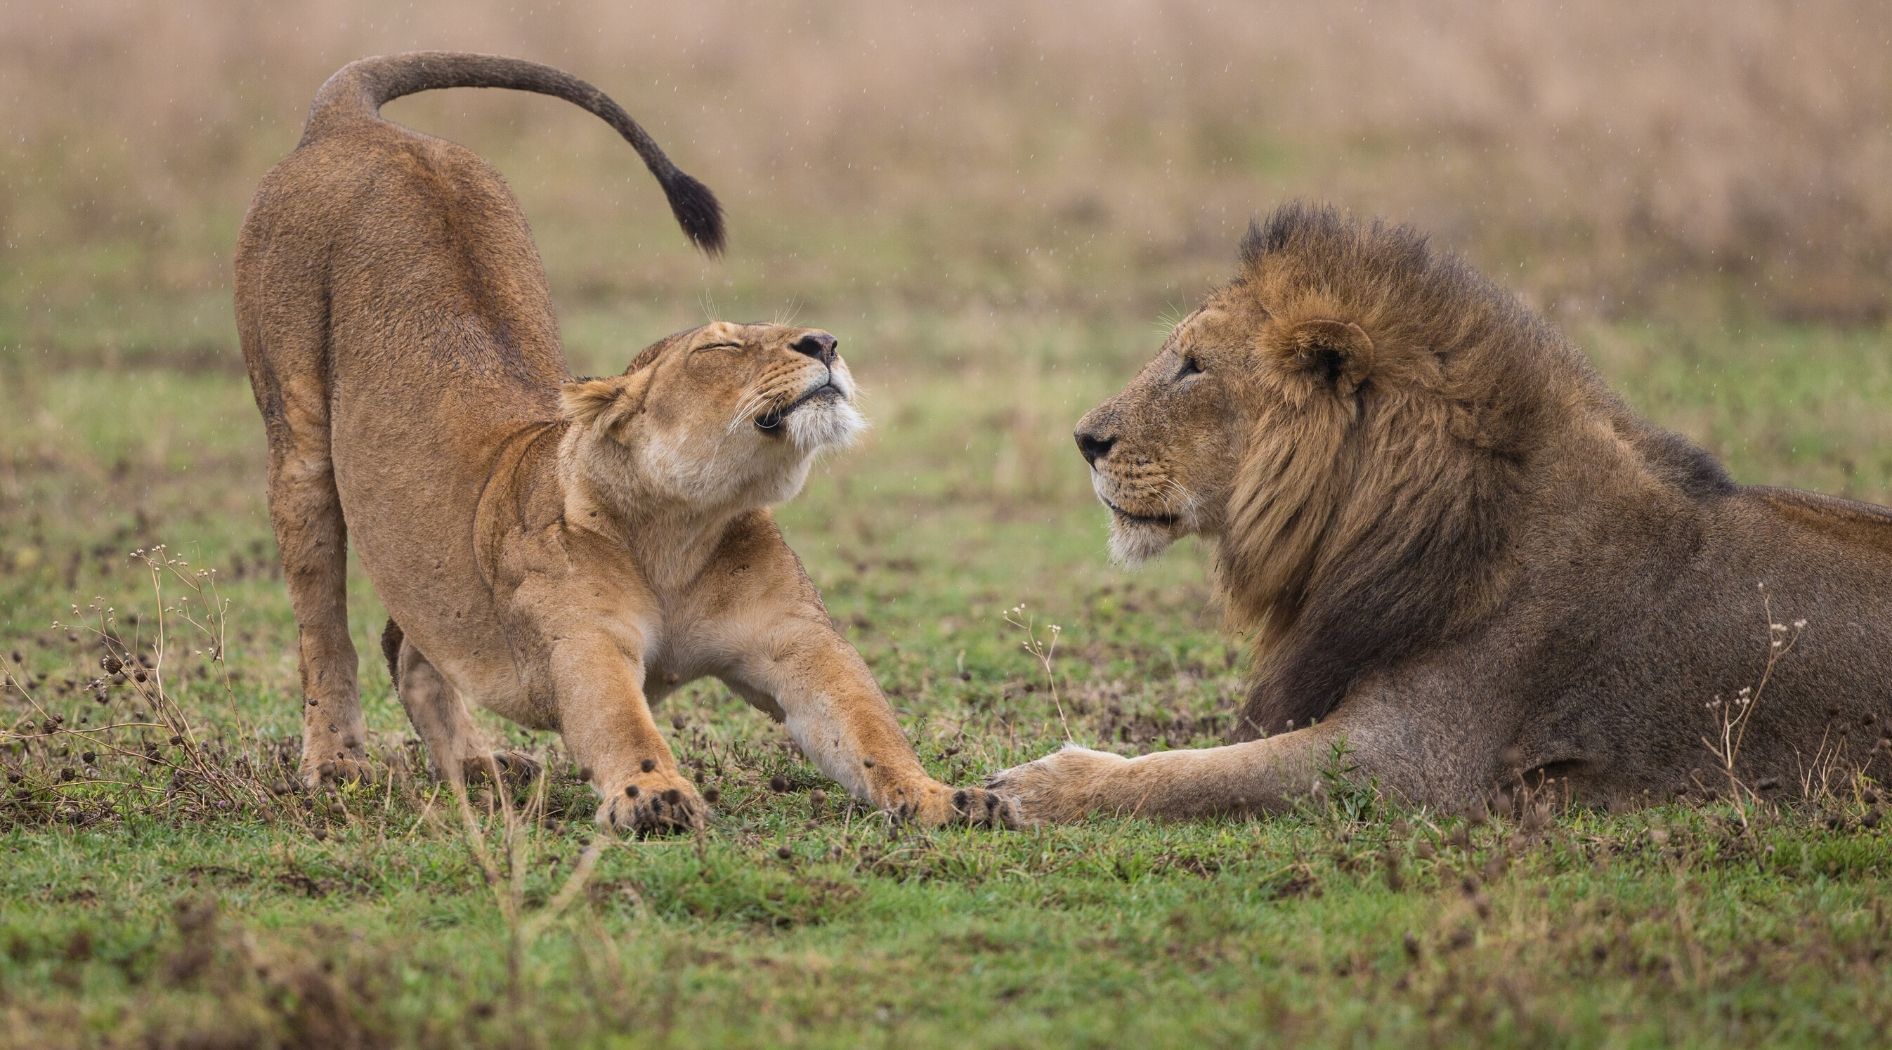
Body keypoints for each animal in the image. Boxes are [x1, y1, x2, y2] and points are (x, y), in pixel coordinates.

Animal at [235, 52, 1014, 833]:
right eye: (723, 345)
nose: (824, 342)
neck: (682, 532)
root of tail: (356, 124)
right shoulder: (584, 643)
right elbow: (620, 722)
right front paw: (655, 793)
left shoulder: (797, 643)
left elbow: (867, 727)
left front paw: (944, 795)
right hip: (298, 445)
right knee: (324, 630)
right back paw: (337, 766)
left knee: (409, 646)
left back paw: (479, 766)